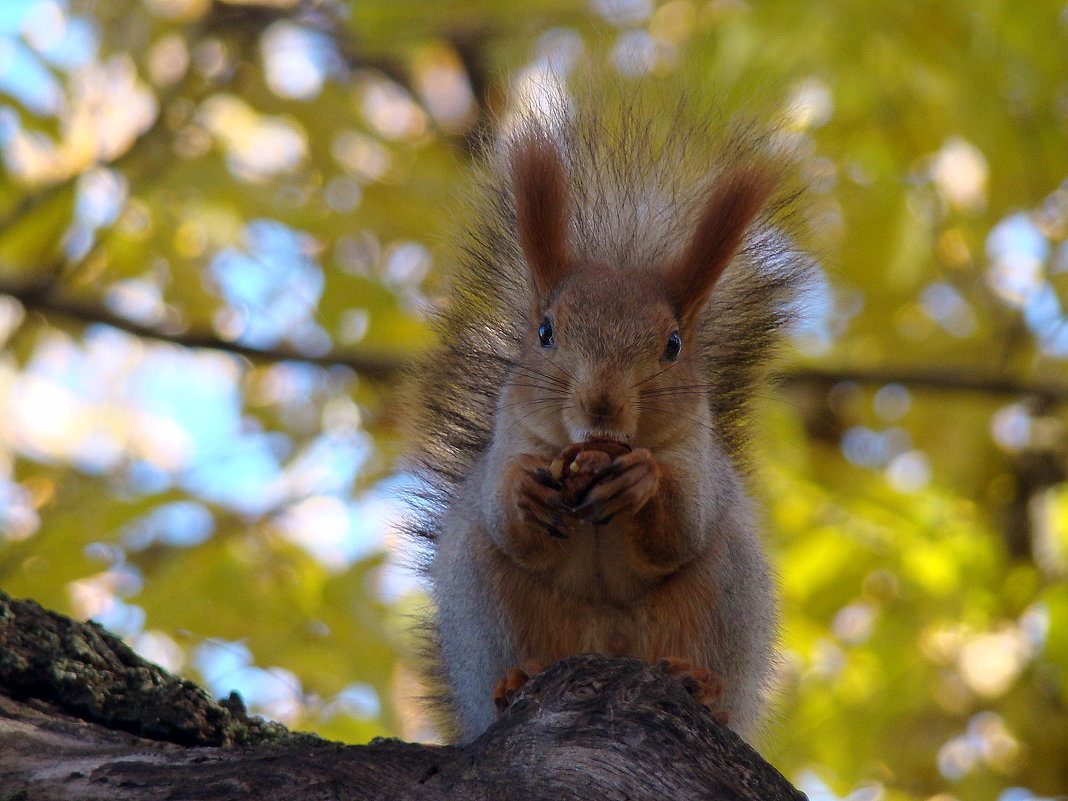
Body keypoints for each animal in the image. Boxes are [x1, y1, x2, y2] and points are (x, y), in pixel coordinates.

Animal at [403, 83, 811, 747]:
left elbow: (681, 527)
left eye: (673, 345)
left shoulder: (696, 458)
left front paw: (640, 480)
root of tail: (610, 651)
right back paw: (516, 679)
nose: (602, 402)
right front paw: (524, 492)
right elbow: (507, 518)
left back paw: (704, 686)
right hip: (488, 601)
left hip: (719, 596)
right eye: (545, 333)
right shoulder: (509, 442)